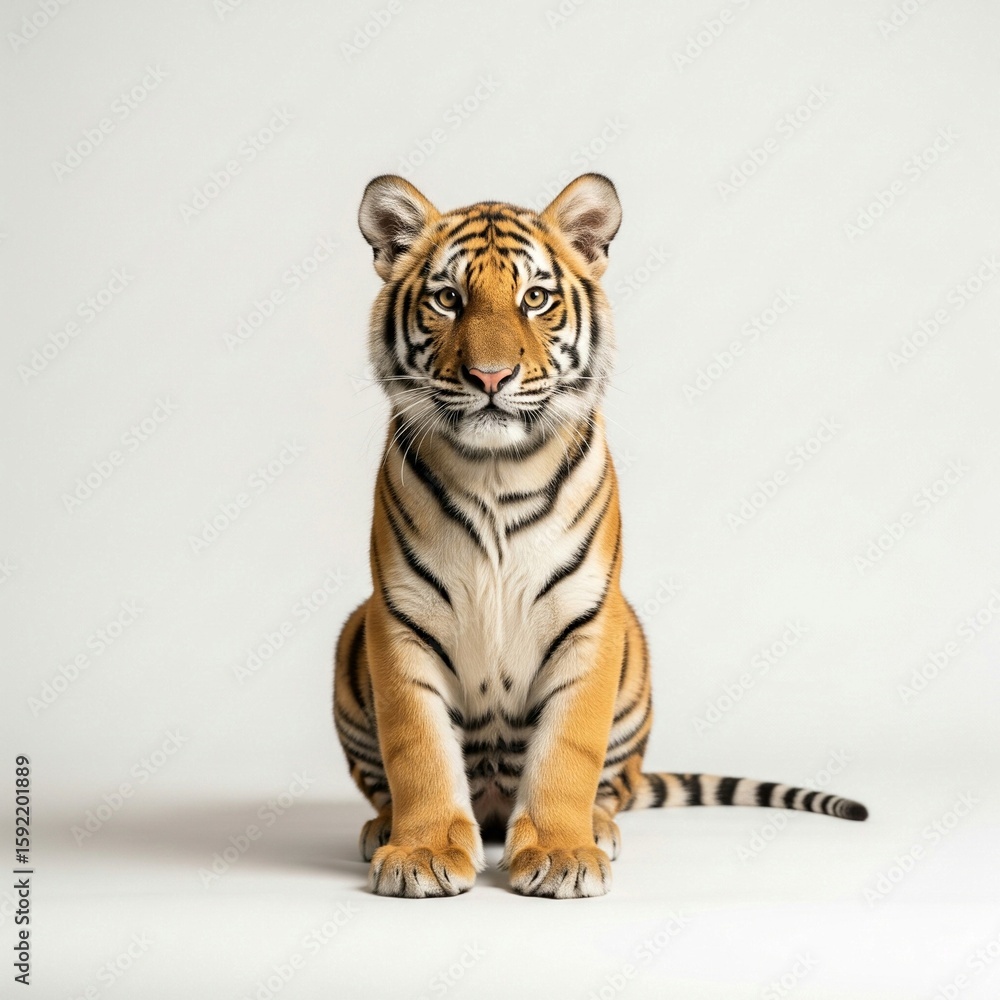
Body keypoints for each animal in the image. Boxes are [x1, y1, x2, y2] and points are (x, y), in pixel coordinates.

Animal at [333, 172, 867, 899]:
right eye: (448, 299)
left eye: (535, 298)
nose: (491, 377)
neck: (493, 471)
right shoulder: (399, 619)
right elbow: (417, 749)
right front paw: (420, 851)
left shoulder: (588, 617)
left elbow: (568, 751)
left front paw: (562, 854)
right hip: (352, 632)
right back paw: (381, 827)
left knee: (613, 785)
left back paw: (601, 829)